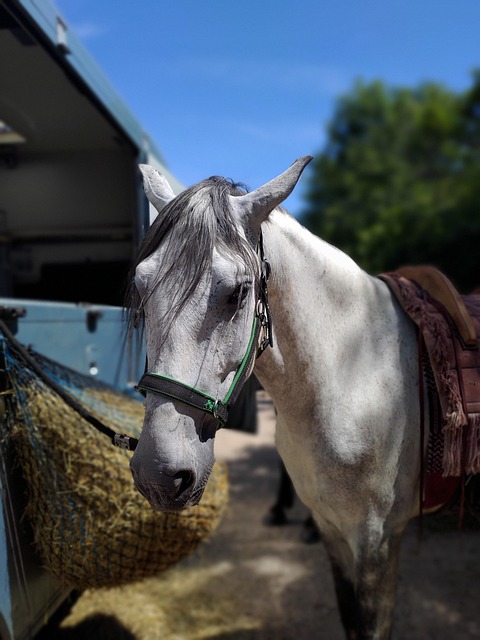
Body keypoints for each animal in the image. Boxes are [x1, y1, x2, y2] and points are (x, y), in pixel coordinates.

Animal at [126, 156, 424, 639]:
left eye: (238, 292)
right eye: (140, 285)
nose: (158, 474)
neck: (352, 370)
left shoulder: (377, 543)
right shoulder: (334, 531)